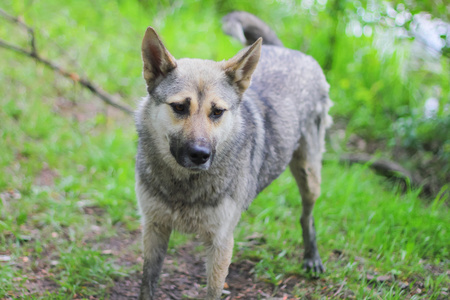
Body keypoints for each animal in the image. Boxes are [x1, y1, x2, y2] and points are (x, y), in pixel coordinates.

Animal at [135, 11, 332, 300]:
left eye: (217, 112)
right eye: (180, 107)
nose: (200, 155)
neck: (184, 187)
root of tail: (290, 51)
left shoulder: (221, 244)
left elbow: (212, 292)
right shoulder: (154, 229)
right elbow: (147, 284)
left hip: (309, 176)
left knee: (307, 216)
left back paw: (312, 257)